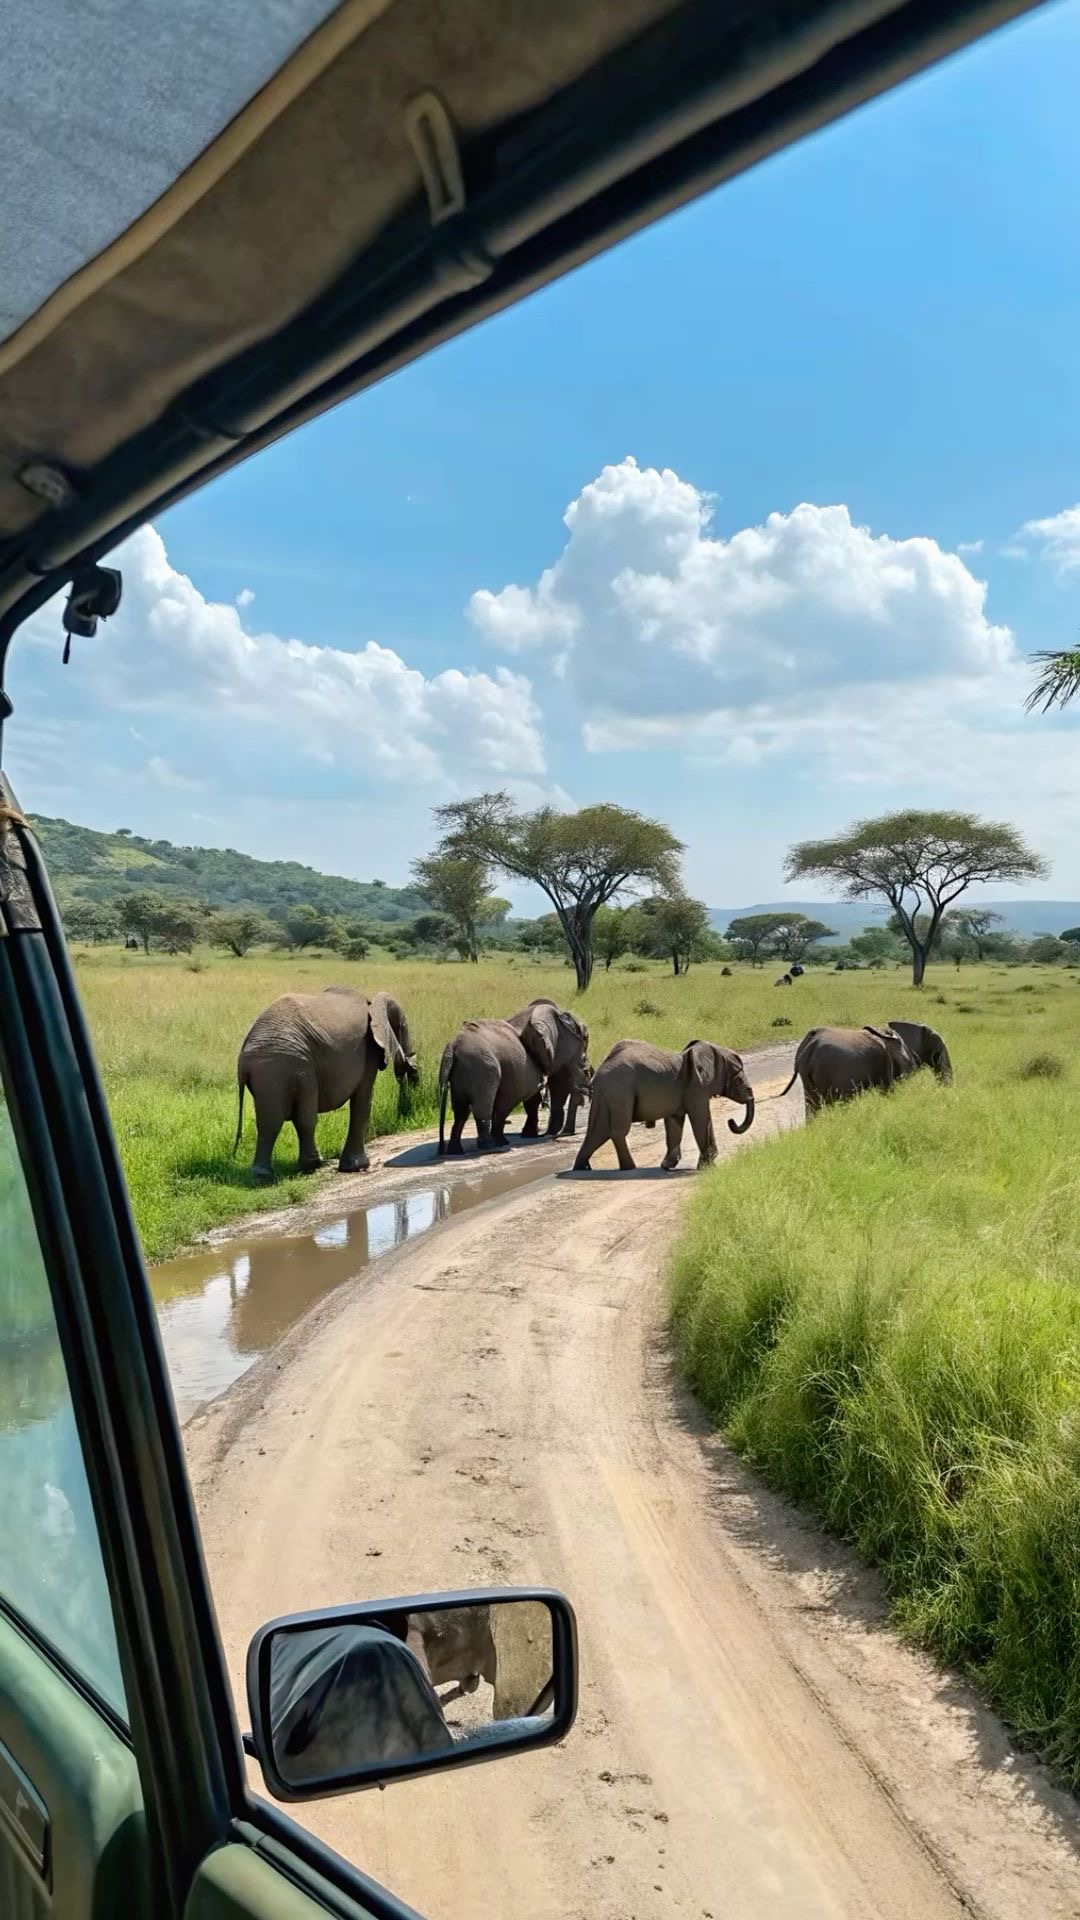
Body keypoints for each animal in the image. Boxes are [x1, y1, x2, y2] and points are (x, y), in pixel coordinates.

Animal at [235, 985, 418, 1182]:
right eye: (403, 1027)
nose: (412, 1069)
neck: (372, 1004)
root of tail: (243, 1062)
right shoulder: (368, 1050)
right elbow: (363, 1099)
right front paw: (358, 1166)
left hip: (269, 1074)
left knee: (268, 1121)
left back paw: (262, 1175)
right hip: (295, 1067)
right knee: (304, 1116)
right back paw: (314, 1164)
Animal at [437, 998, 589, 1154]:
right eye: (585, 1038)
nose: (548, 1135)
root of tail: (452, 1047)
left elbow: (534, 1097)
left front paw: (527, 1135)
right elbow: (512, 1098)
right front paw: (503, 1142)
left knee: (460, 1112)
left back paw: (455, 1150)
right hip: (482, 1070)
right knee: (482, 1105)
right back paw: (489, 1146)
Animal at [573, 1038, 755, 1172]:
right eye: (739, 1078)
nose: (731, 1122)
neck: (713, 1051)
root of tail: (597, 1075)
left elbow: (675, 1123)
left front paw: (667, 1166)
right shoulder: (696, 1088)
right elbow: (701, 1118)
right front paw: (707, 1167)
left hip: (608, 1094)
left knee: (597, 1131)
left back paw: (582, 1168)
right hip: (620, 1092)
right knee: (617, 1131)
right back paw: (629, 1168)